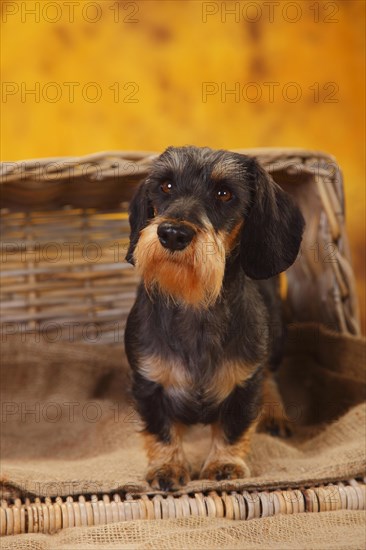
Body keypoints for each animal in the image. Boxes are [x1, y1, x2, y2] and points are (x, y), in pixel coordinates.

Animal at [124, 147, 304, 492]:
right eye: (166, 185)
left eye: (224, 193)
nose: (172, 234)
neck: (195, 304)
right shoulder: (148, 383)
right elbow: (160, 429)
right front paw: (167, 466)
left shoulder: (245, 384)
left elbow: (234, 426)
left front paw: (224, 464)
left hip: (277, 342)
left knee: (271, 377)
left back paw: (276, 415)